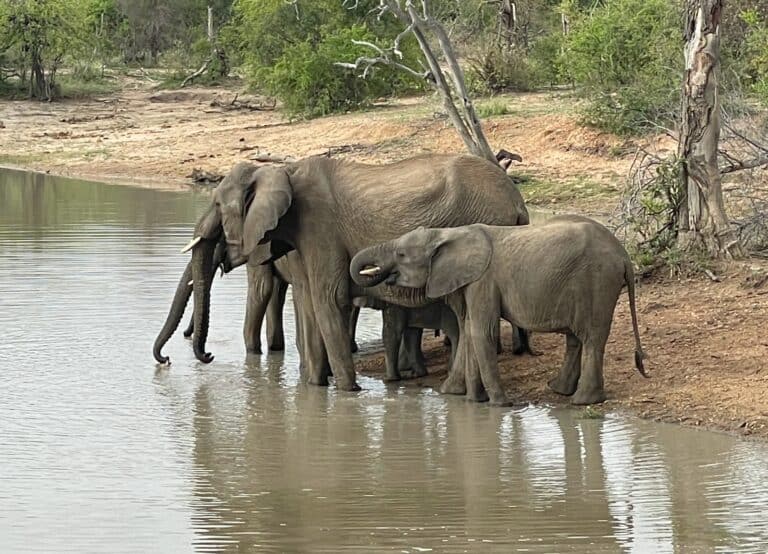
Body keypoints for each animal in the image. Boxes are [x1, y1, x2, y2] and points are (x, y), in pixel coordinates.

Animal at [166, 153, 529, 391]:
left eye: (216, 205)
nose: (206, 354)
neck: (280, 170)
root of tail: (518, 201)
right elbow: (308, 305)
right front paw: (313, 386)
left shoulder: (318, 228)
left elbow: (329, 300)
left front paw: (344, 391)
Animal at [350, 215, 647, 406]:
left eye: (400, 254)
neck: (447, 233)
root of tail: (623, 254)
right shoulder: (469, 283)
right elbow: (469, 331)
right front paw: (467, 399)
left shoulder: (483, 281)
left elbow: (482, 332)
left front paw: (499, 405)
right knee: (576, 338)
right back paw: (560, 391)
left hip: (597, 281)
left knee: (592, 337)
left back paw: (583, 401)